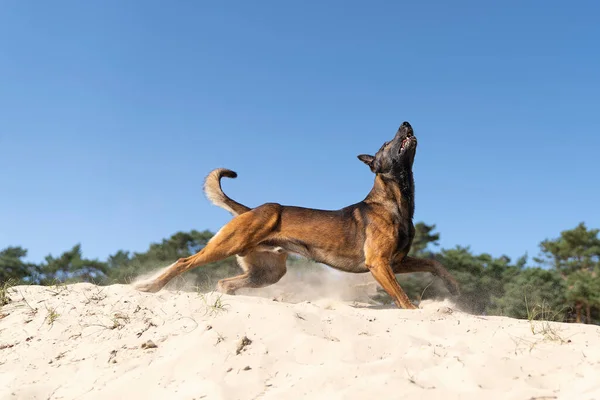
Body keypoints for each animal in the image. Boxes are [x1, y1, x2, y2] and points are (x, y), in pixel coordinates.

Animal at [135, 122, 460, 310]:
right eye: (385, 144)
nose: (406, 122)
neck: (395, 201)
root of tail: (250, 210)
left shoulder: (396, 261)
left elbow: (434, 264)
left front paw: (453, 286)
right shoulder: (379, 264)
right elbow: (403, 299)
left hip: (268, 272)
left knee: (226, 283)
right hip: (226, 246)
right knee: (183, 262)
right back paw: (150, 286)